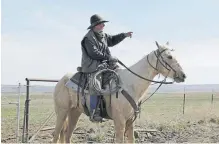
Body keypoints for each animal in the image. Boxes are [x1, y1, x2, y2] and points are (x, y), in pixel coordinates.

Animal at [51, 40, 186, 143]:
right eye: (169, 56)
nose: (183, 75)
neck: (131, 84)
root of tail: (61, 80)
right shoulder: (119, 122)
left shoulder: (130, 122)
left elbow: (131, 140)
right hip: (62, 112)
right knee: (57, 134)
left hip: (74, 112)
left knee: (67, 135)